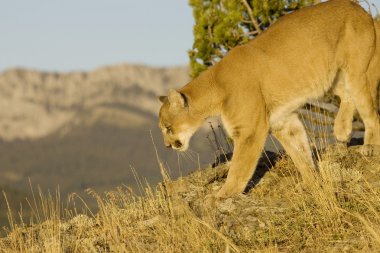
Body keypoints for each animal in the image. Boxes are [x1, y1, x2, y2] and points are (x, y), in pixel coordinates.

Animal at [158, 0, 380, 198]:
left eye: (168, 127)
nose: (167, 145)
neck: (215, 86)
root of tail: (363, 11)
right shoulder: (283, 122)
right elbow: (300, 153)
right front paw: (311, 182)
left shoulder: (249, 131)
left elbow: (238, 168)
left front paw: (221, 195)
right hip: (330, 77)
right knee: (347, 95)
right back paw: (342, 130)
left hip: (357, 72)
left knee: (370, 112)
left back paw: (369, 146)